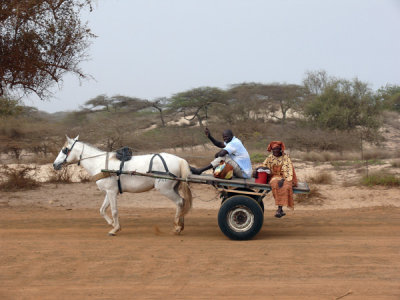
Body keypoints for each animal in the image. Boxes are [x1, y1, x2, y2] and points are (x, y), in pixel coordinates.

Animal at [52, 135, 193, 236]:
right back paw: (181, 224)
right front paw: (111, 224)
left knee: (180, 202)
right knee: (183, 202)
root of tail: (179, 160)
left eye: (64, 150)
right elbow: (102, 209)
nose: (54, 164)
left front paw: (115, 229)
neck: (100, 163)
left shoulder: (112, 192)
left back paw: (177, 227)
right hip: (173, 188)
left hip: (165, 189)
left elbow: (114, 211)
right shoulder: (109, 191)